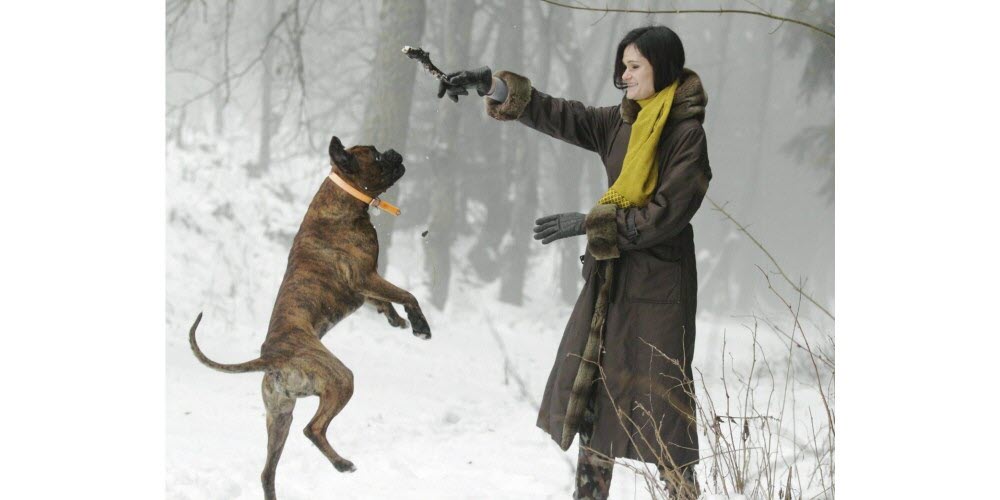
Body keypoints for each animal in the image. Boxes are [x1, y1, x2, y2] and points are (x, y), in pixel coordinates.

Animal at [189, 136, 432, 500]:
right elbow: (407, 294)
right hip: (339, 378)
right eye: (375, 156)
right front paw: (420, 326)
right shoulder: (365, 276)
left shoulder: (365, 287)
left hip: (279, 417)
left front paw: (396, 320)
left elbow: (385, 301)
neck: (345, 196)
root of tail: (271, 358)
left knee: (268, 472)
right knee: (313, 428)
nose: (392, 152)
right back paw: (343, 464)